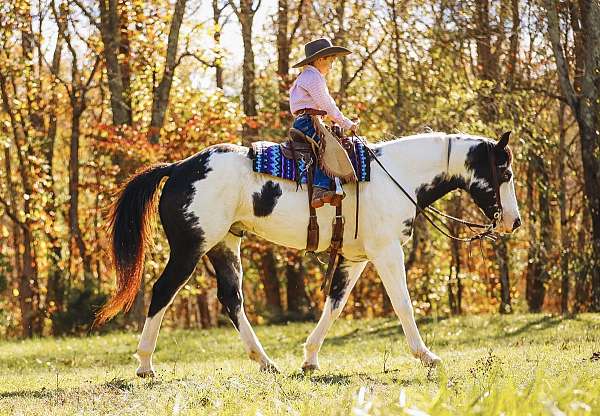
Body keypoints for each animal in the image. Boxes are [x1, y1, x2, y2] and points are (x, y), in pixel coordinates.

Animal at [97, 132, 520, 376]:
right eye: (506, 173)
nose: (513, 222)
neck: (397, 175)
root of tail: (180, 167)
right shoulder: (386, 252)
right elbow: (402, 304)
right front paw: (427, 355)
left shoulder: (355, 258)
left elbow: (334, 303)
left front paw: (310, 358)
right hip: (190, 249)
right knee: (162, 293)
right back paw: (145, 363)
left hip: (224, 246)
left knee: (232, 300)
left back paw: (266, 362)